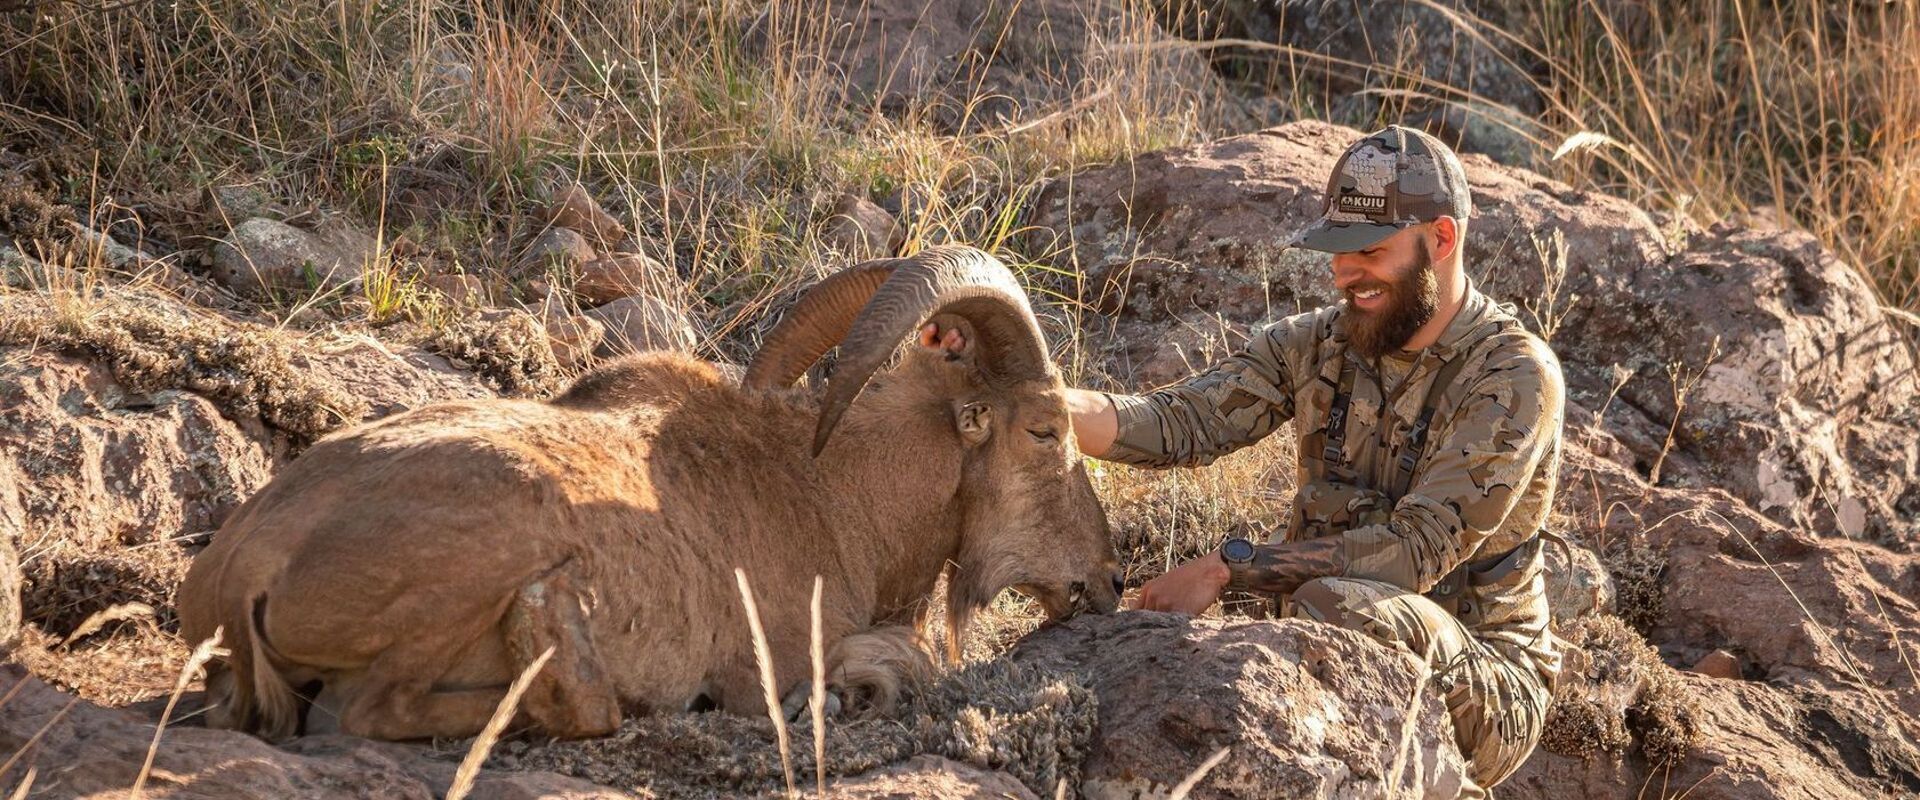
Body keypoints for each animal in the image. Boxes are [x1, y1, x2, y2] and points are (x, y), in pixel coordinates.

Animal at [175, 245, 1123, 742]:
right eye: (1046, 429)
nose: (1108, 578)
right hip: (467, 569)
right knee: (369, 711)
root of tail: (241, 570)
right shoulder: (769, 660)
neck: (838, 498)